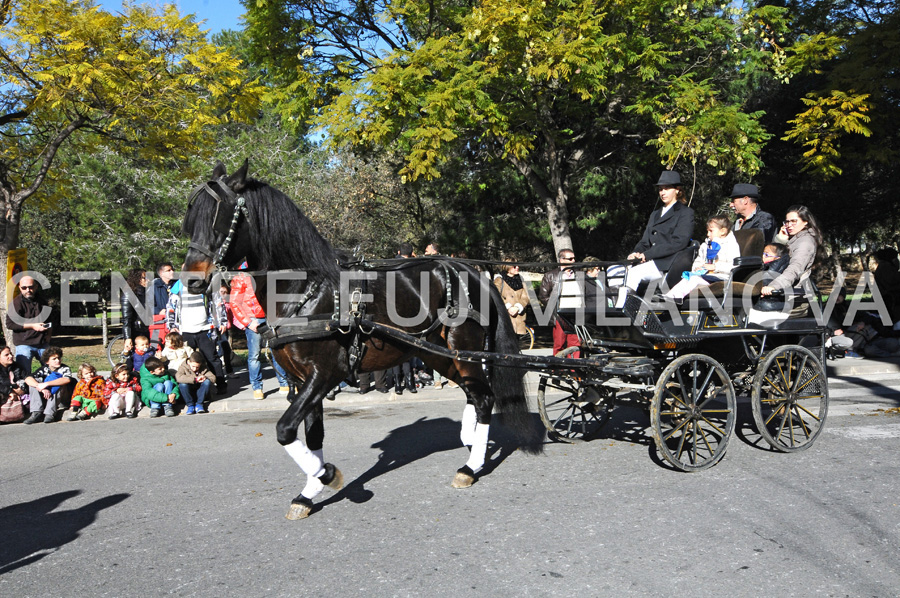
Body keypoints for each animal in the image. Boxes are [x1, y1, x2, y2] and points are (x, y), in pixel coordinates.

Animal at [180, 161, 536, 520]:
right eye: (192, 220)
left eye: (219, 218)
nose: (191, 280)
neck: (305, 289)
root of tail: (472, 271)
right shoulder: (305, 381)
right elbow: (313, 434)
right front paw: (309, 492)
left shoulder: (324, 375)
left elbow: (285, 429)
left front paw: (327, 475)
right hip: (437, 353)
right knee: (473, 395)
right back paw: (469, 438)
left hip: (463, 349)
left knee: (484, 398)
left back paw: (471, 466)